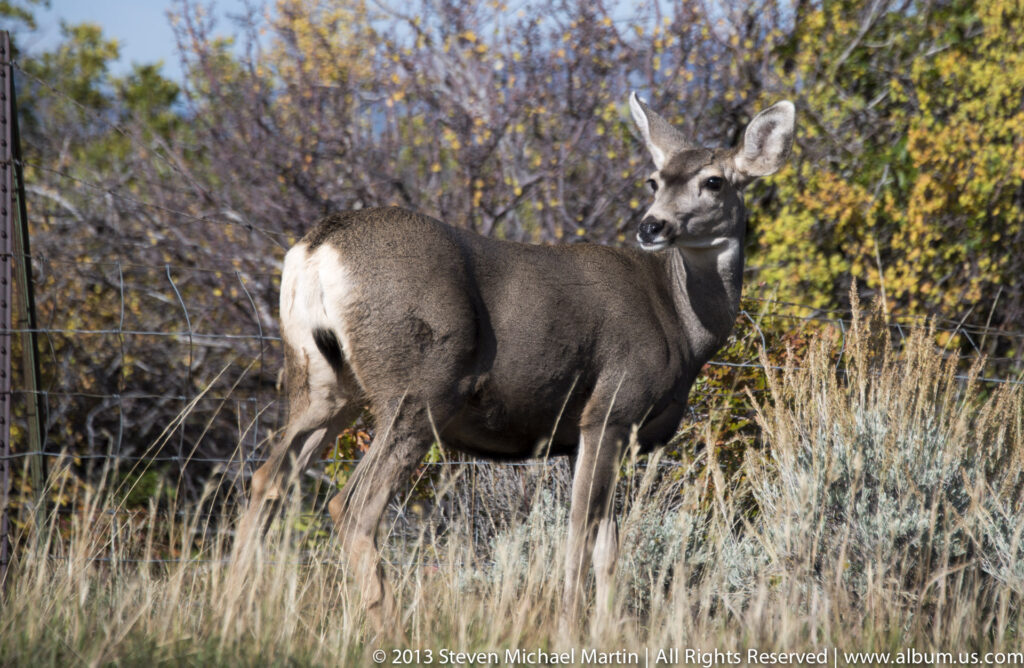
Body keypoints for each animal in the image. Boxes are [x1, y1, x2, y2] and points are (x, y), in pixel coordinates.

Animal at [231, 92, 795, 631]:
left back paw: (238, 608)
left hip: (324, 383)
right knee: (352, 506)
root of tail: (315, 248)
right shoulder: (610, 409)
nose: (652, 225)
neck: (678, 320)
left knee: (268, 480)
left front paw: (609, 628)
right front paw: (570, 625)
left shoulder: (595, 434)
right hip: (418, 385)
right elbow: (580, 532)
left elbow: (609, 549)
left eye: (713, 181)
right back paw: (389, 629)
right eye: (654, 180)